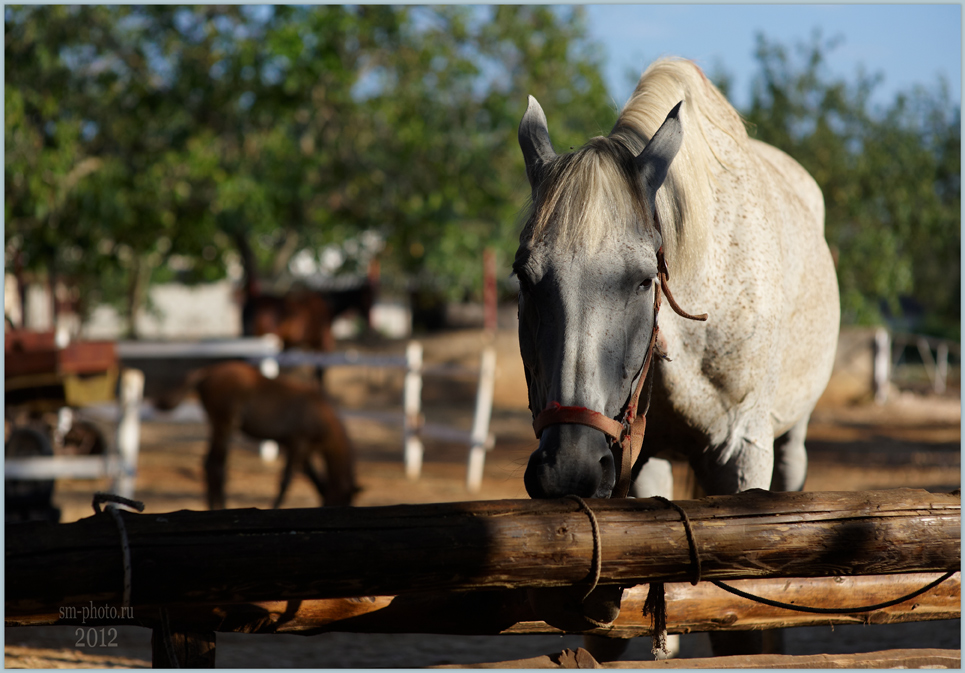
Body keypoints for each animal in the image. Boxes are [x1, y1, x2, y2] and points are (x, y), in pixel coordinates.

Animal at [156, 360, 360, 506]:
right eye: (343, 500)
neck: (319, 412)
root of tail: (208, 372)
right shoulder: (298, 445)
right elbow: (286, 480)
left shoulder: (304, 450)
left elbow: (316, 481)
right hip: (225, 425)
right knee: (216, 466)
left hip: (217, 426)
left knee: (209, 464)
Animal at [516, 59, 840, 656]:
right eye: (523, 277)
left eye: (645, 279)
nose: (568, 467)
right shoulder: (632, 466)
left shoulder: (743, 454)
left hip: (791, 442)